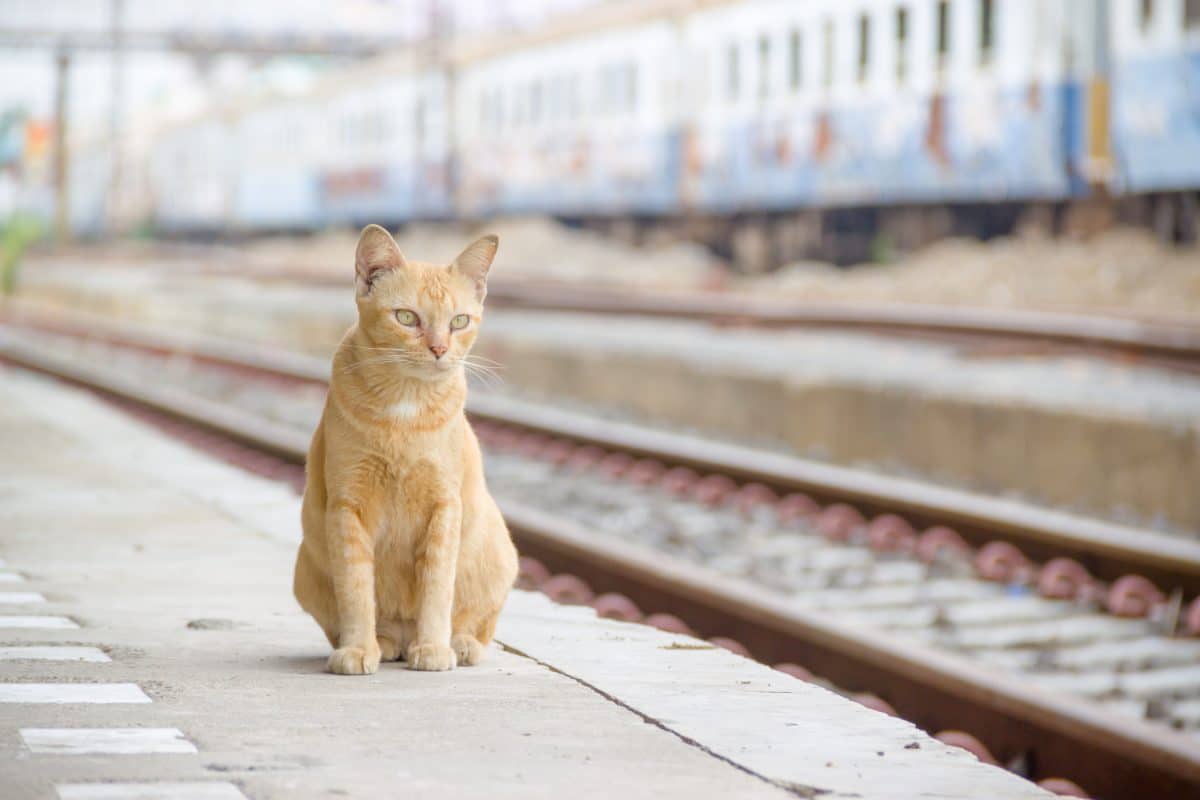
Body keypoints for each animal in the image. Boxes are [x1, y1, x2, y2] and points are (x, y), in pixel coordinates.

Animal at [294, 225, 516, 676]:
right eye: (407, 317)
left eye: (459, 321)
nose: (439, 349)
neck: (405, 408)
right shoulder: (348, 505)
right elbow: (356, 590)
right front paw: (358, 649)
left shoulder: (443, 505)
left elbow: (437, 587)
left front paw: (433, 648)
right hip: (305, 570)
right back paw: (383, 643)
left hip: (501, 556)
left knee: (478, 624)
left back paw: (459, 644)